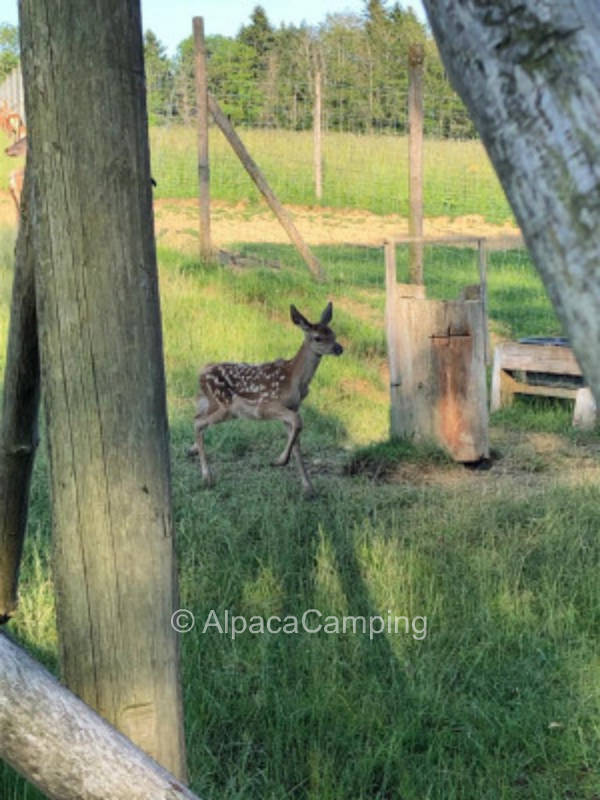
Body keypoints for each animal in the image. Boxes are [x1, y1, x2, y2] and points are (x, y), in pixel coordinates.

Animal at [188, 302, 343, 497]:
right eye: (318, 338)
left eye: (333, 334)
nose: (339, 348)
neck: (295, 379)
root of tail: (201, 373)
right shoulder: (267, 406)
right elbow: (298, 422)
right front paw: (279, 461)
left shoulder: (292, 407)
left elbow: (297, 443)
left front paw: (308, 488)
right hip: (225, 406)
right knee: (198, 423)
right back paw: (207, 477)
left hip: (213, 404)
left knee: (196, 417)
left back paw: (192, 450)